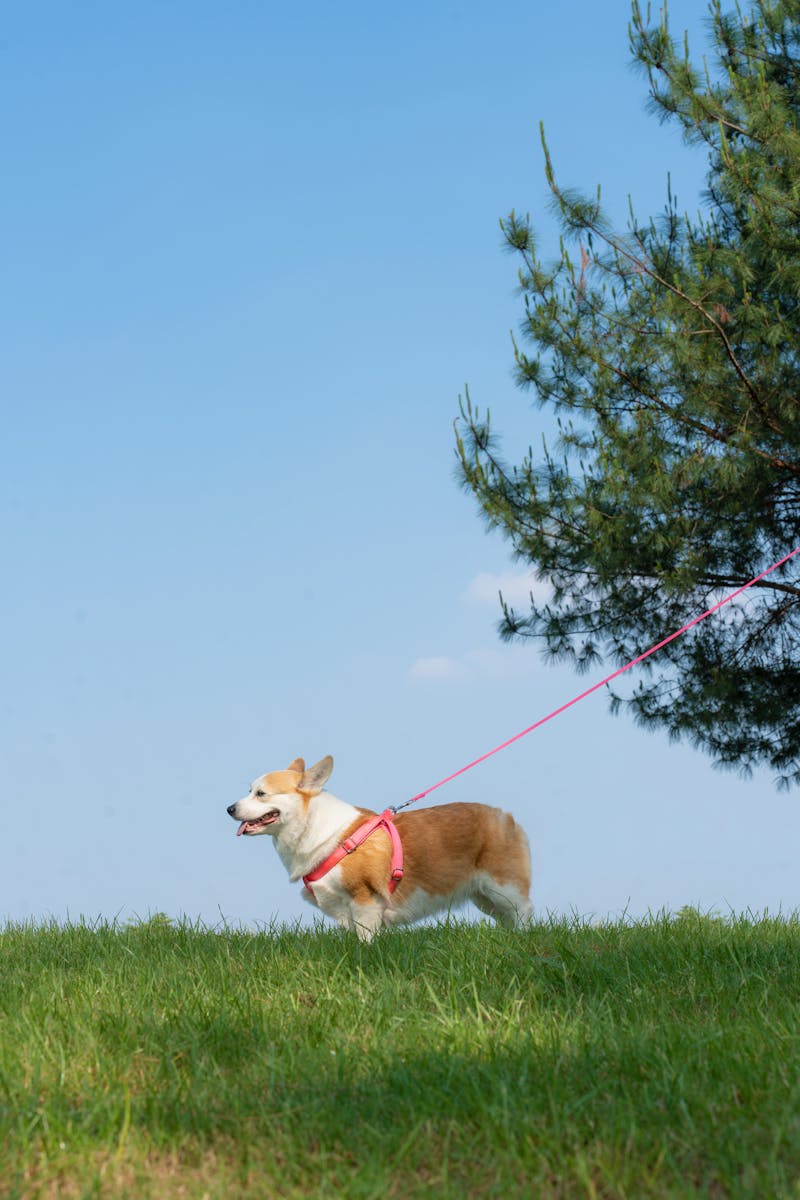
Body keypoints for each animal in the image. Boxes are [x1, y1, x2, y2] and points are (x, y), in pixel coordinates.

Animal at [227, 753, 534, 940]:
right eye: (249, 790)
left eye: (261, 793)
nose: (229, 809)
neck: (316, 829)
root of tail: (506, 816)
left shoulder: (365, 902)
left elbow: (366, 938)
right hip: (484, 897)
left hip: (502, 887)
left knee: (523, 910)